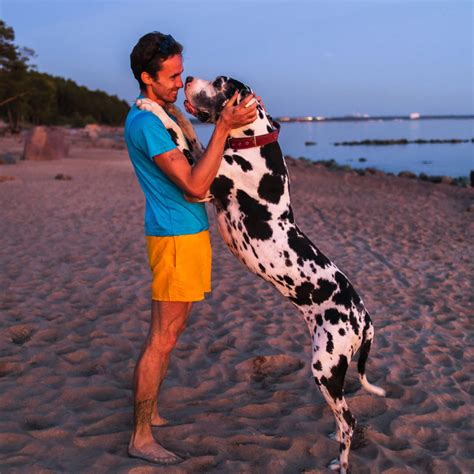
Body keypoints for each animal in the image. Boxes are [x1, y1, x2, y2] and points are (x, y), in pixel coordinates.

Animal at [136, 76, 386, 472]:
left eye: (220, 82)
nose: (187, 79)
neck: (253, 142)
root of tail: (365, 317)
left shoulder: (199, 185)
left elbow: (176, 135)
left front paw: (151, 107)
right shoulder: (203, 161)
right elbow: (187, 129)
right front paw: (168, 106)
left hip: (325, 367)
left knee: (350, 419)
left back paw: (343, 463)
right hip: (333, 368)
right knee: (341, 417)